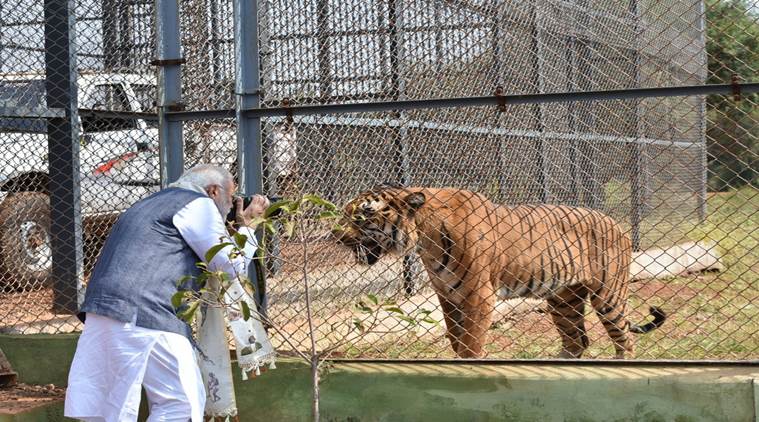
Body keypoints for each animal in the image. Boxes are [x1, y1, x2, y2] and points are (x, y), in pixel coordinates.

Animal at [332, 185, 666, 359]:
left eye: (362, 215)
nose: (336, 236)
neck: (424, 239)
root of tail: (617, 224)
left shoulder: (479, 296)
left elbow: (471, 344)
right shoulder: (447, 295)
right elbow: (456, 339)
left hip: (607, 295)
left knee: (624, 340)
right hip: (563, 299)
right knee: (577, 341)